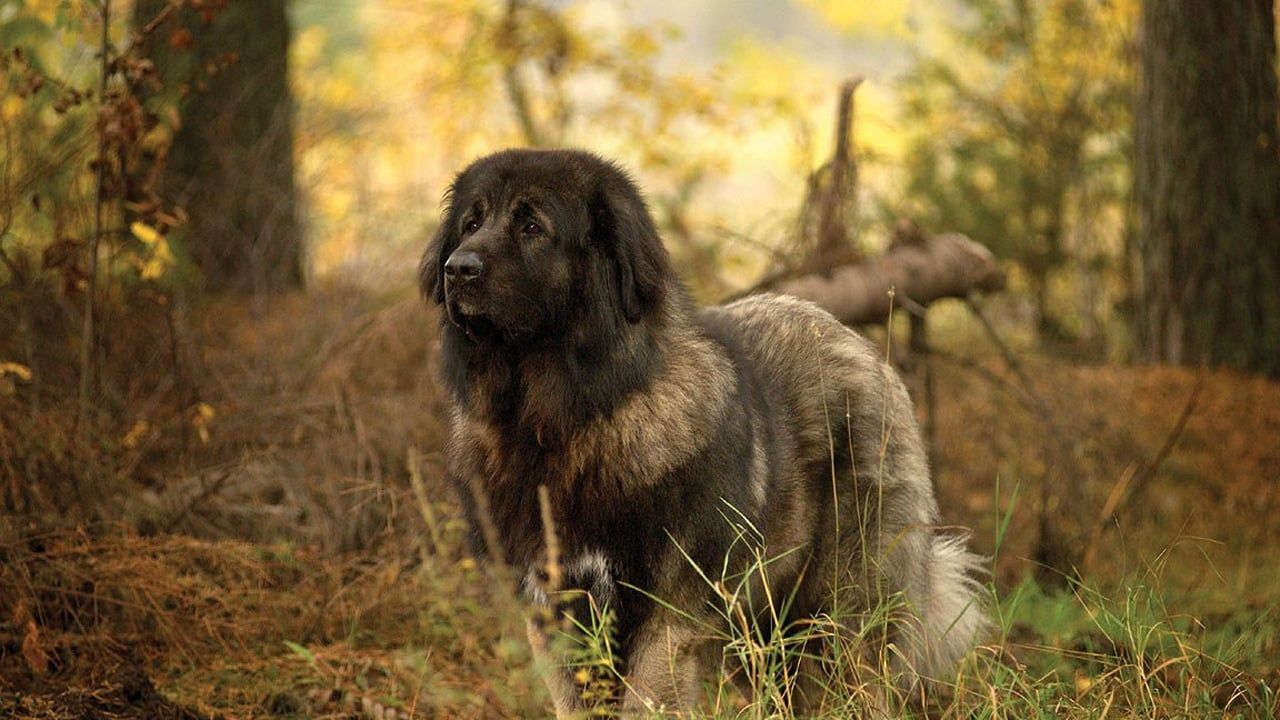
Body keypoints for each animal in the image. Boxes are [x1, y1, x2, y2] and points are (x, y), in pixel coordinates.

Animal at [419, 148, 977, 707]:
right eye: (471, 223)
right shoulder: (554, 612)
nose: (458, 268)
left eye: (532, 226)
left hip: (844, 605)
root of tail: (856, 342)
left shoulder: (668, 616)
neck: (565, 421)